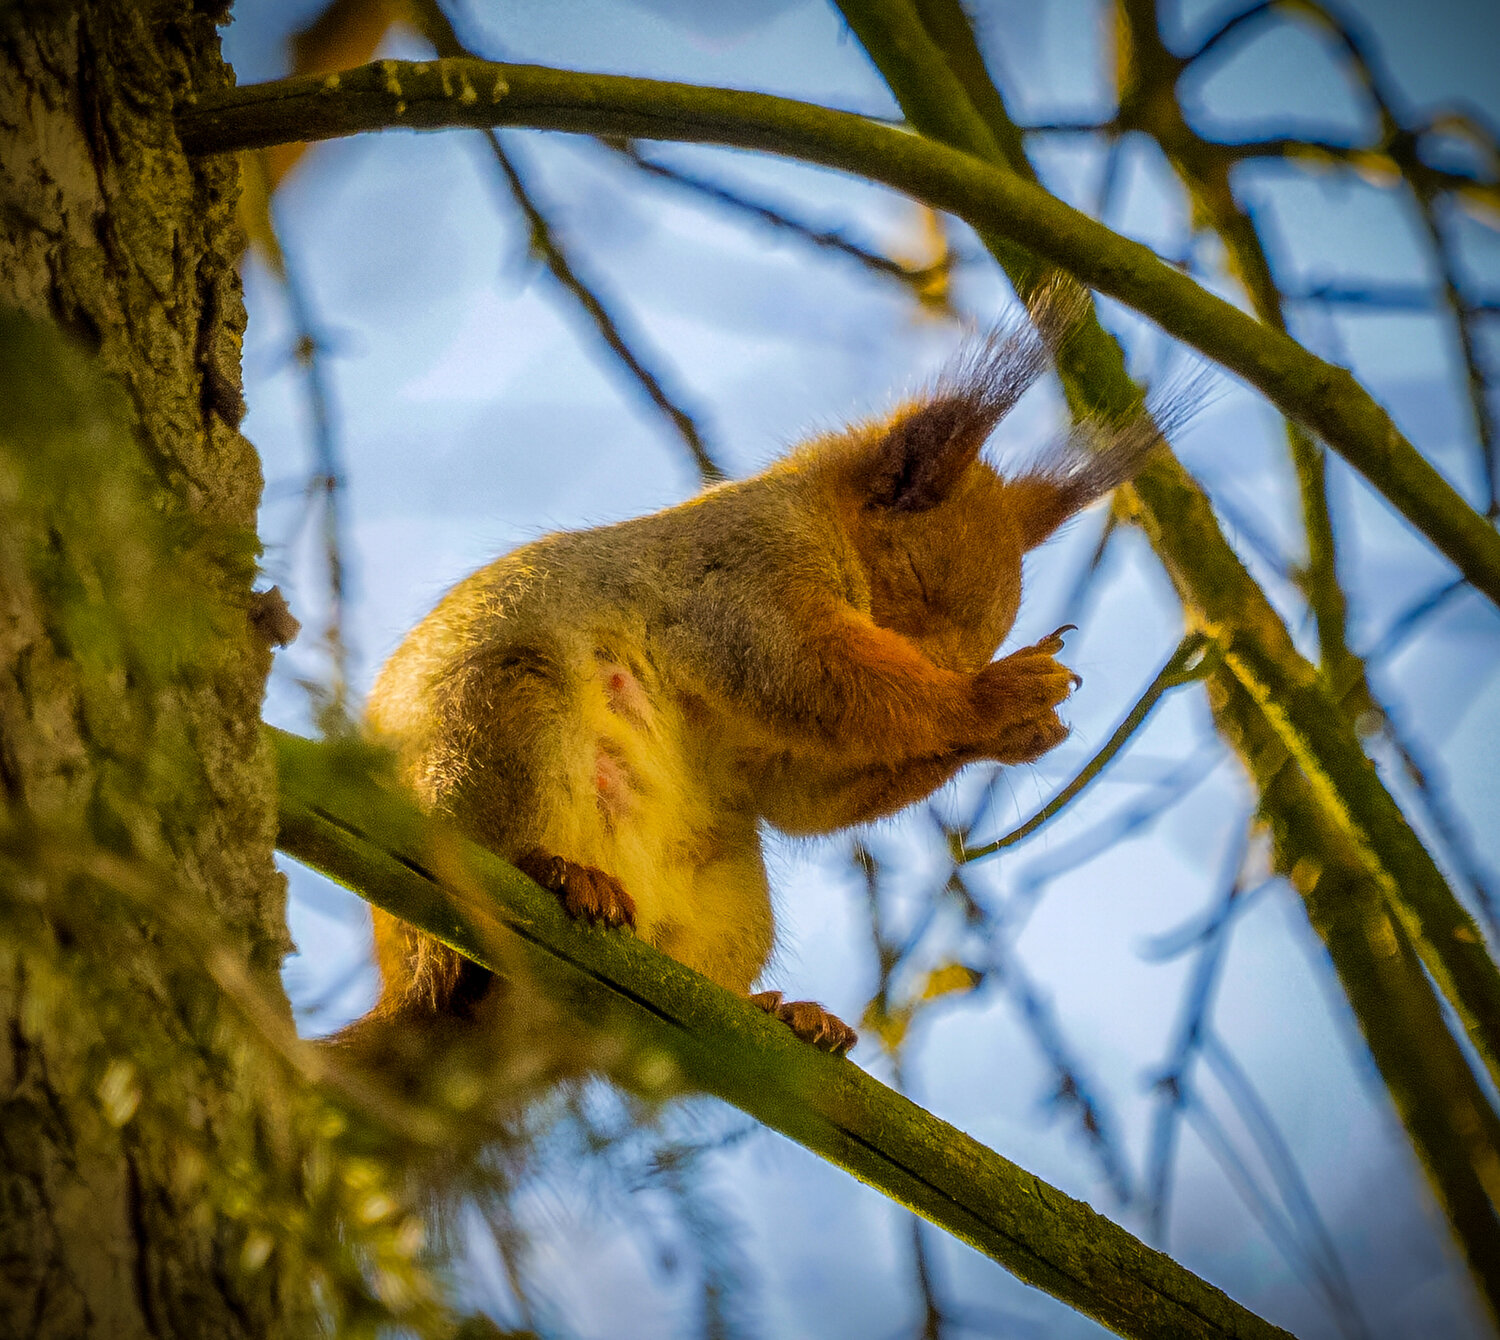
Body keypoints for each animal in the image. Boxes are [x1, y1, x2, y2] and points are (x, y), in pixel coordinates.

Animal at [346, 293, 1168, 1081]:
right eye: (914, 579)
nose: (956, 669)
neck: (814, 515)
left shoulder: (764, 736)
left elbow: (799, 794)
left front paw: (1019, 727)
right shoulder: (743, 577)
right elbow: (803, 670)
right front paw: (991, 701)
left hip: (729, 887)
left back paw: (776, 1013)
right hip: (504, 726)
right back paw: (555, 875)